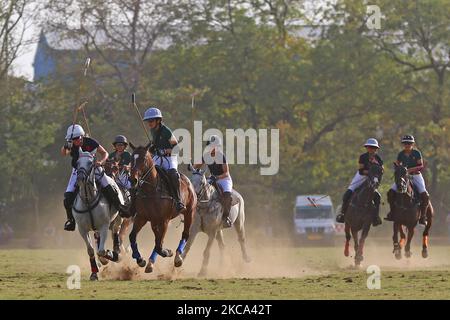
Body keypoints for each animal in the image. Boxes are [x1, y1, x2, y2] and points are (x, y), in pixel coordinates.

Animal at [73, 150, 123, 280]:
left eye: (91, 163)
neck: (88, 200)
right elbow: (91, 250)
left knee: (116, 231)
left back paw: (116, 251)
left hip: (118, 218)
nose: (80, 178)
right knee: (98, 239)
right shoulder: (82, 229)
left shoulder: (104, 225)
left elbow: (102, 251)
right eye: (77, 162)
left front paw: (110, 256)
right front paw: (94, 272)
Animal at [127, 144, 196, 272]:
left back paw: (177, 258)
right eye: (131, 159)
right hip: (154, 222)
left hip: (189, 212)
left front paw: (167, 252)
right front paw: (140, 259)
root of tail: (187, 180)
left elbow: (159, 245)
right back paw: (150, 263)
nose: (133, 180)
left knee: (185, 234)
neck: (151, 191)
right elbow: (132, 236)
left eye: (144, 159)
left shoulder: (164, 220)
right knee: (157, 239)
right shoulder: (141, 217)